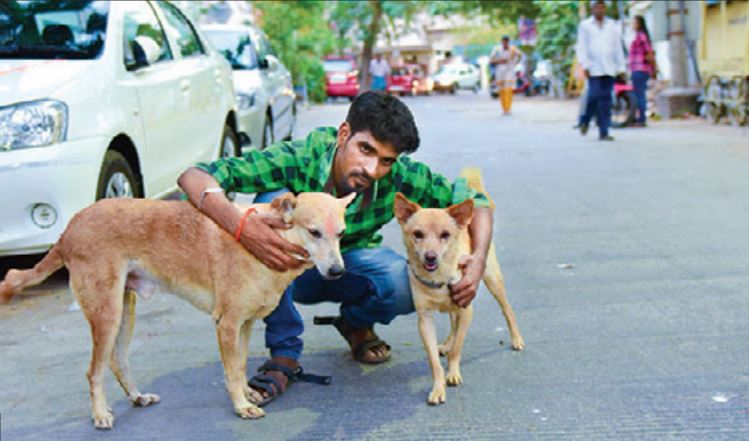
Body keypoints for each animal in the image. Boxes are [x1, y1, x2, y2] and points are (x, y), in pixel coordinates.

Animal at [0, 192, 354, 426]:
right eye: (313, 232)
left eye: (341, 234)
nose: (338, 272)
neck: (266, 239)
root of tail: (70, 227)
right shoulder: (226, 324)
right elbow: (230, 372)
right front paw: (240, 405)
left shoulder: (244, 324)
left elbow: (239, 366)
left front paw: (247, 395)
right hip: (106, 314)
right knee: (94, 371)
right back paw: (100, 414)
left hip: (123, 313)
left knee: (117, 361)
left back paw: (137, 397)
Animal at [394, 168, 524, 406]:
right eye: (417, 234)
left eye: (445, 235)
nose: (430, 256)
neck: (438, 277)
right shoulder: (425, 319)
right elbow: (434, 361)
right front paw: (438, 388)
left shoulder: (466, 309)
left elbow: (457, 349)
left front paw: (453, 374)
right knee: (453, 322)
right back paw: (445, 343)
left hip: (492, 280)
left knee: (507, 310)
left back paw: (517, 339)